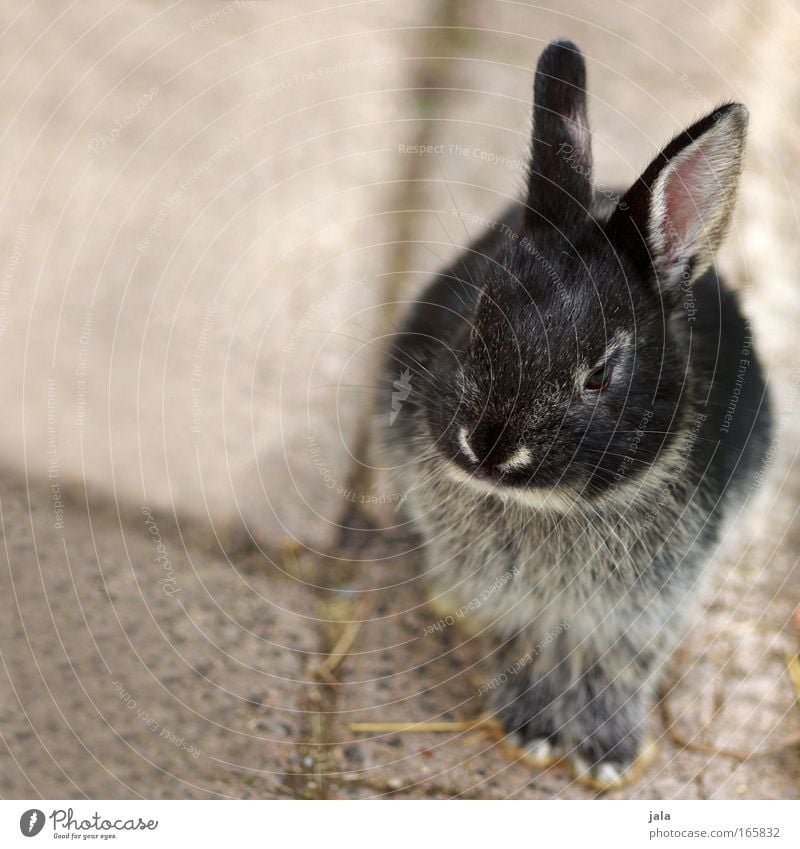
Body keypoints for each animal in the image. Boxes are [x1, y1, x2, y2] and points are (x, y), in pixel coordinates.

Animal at [376, 36, 776, 784]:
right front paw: (530, 729)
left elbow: (617, 667)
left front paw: (606, 754)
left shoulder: (646, 607)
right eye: (478, 316)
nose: (489, 449)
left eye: (600, 375)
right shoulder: (509, 599)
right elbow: (521, 647)